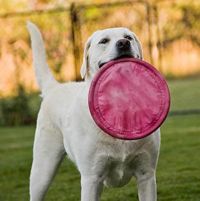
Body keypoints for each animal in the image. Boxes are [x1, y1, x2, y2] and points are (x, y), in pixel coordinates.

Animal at [27, 22, 160, 201]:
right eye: (104, 41)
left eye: (128, 37)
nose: (124, 43)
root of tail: (55, 88)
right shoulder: (92, 178)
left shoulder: (146, 174)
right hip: (43, 170)